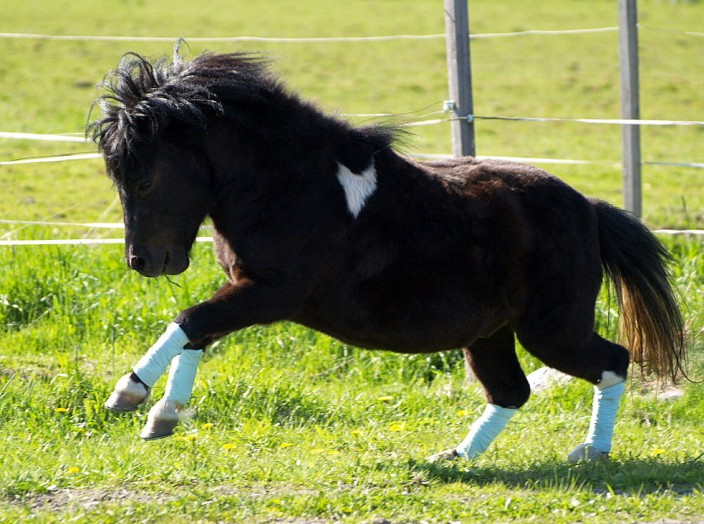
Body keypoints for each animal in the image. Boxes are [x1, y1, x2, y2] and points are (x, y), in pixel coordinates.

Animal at [89, 47, 688, 460]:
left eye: (143, 179)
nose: (143, 261)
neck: (289, 186)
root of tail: (588, 208)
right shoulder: (249, 292)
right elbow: (197, 332)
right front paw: (162, 417)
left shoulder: (272, 294)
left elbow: (190, 320)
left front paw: (129, 396)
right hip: (489, 333)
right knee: (511, 391)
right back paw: (457, 457)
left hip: (551, 328)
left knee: (613, 361)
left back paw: (591, 452)